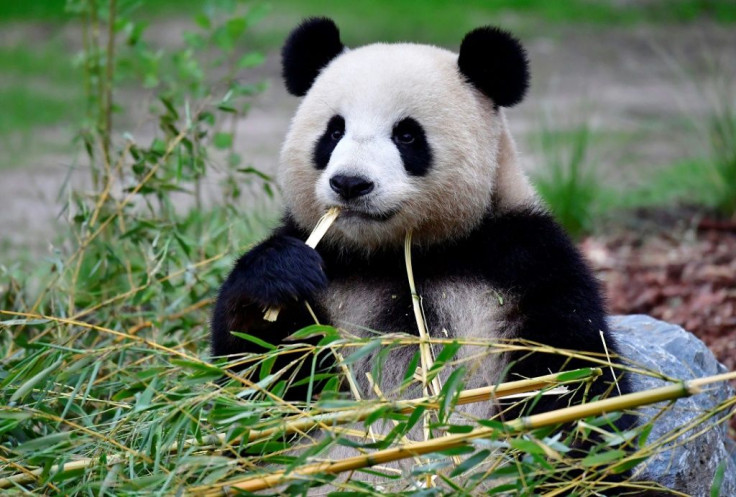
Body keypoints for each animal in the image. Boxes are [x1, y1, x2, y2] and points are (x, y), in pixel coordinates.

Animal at [213, 17, 632, 426]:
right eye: (334, 131)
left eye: (407, 135)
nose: (350, 183)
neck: (401, 253)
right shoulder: (328, 267)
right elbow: (257, 377)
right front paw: (279, 274)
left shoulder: (524, 259)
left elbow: (572, 370)